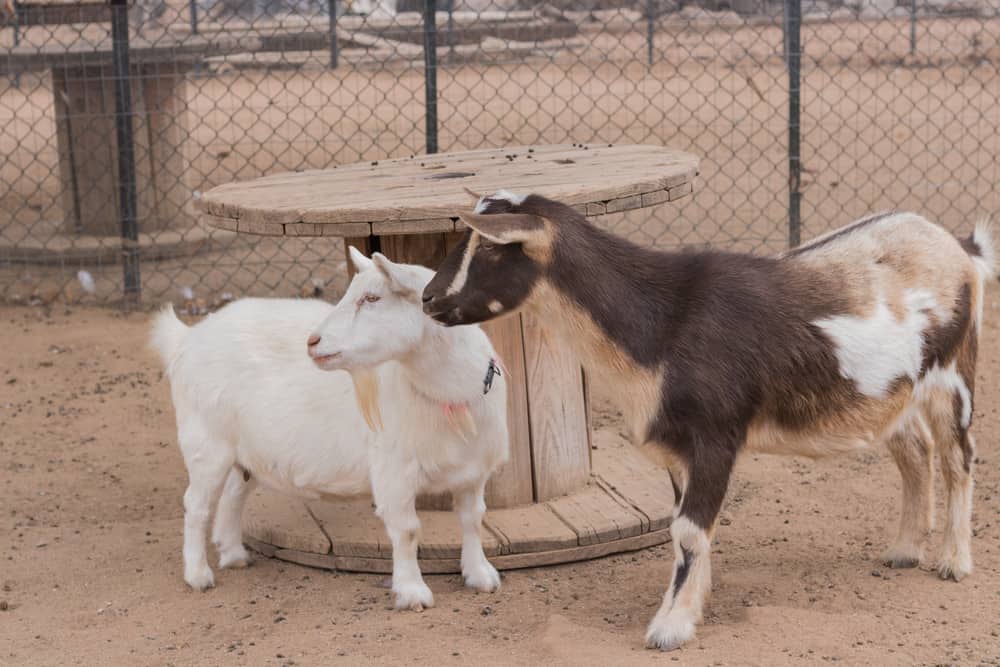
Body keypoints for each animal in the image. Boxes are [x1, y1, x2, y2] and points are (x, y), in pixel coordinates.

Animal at [152, 247, 512, 612]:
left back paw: (233, 554)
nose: (313, 342)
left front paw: (480, 575)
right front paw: (412, 593)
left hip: (246, 451)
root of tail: (187, 338)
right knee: (196, 505)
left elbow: (472, 518)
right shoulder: (394, 472)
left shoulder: (473, 472)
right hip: (206, 443)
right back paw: (198, 575)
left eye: (372, 297)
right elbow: (407, 530)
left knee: (232, 494)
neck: (451, 394)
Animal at [420, 193, 992, 652]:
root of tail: (958, 247)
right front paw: (695, 602)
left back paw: (953, 562)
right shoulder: (679, 450)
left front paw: (670, 627)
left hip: (954, 373)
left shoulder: (716, 436)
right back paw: (904, 550)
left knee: (958, 457)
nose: (427, 299)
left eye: (492, 248)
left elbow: (690, 531)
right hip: (894, 394)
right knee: (915, 451)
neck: (662, 323)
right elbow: (685, 532)